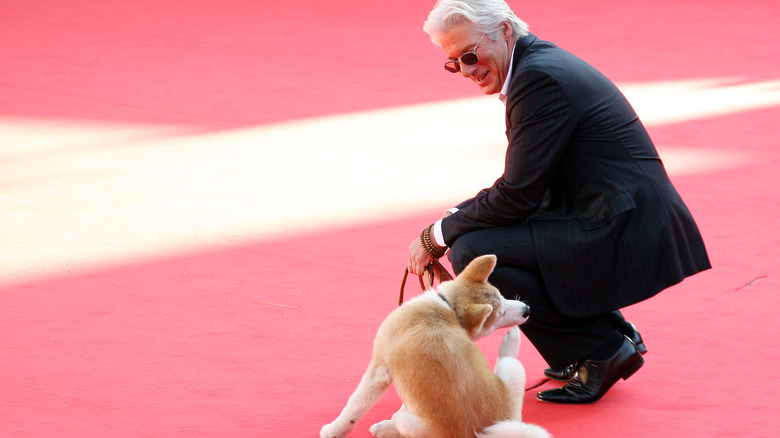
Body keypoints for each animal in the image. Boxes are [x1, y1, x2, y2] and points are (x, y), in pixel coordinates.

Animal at [316, 255, 548, 436]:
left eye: (501, 300)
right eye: (500, 308)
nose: (527, 309)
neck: (447, 308)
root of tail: (480, 433)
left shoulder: (379, 369)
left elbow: (354, 405)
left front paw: (333, 430)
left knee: (400, 420)